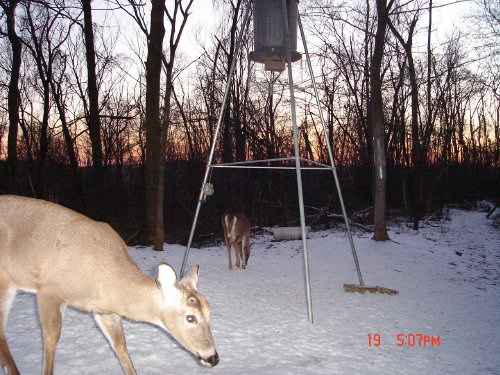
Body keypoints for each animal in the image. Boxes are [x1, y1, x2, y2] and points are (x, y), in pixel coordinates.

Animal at [0, 195, 219, 375]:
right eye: (190, 317)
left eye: (210, 313)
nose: (213, 358)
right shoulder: (49, 291)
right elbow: (51, 340)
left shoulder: (105, 311)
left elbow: (120, 346)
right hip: (5, 280)